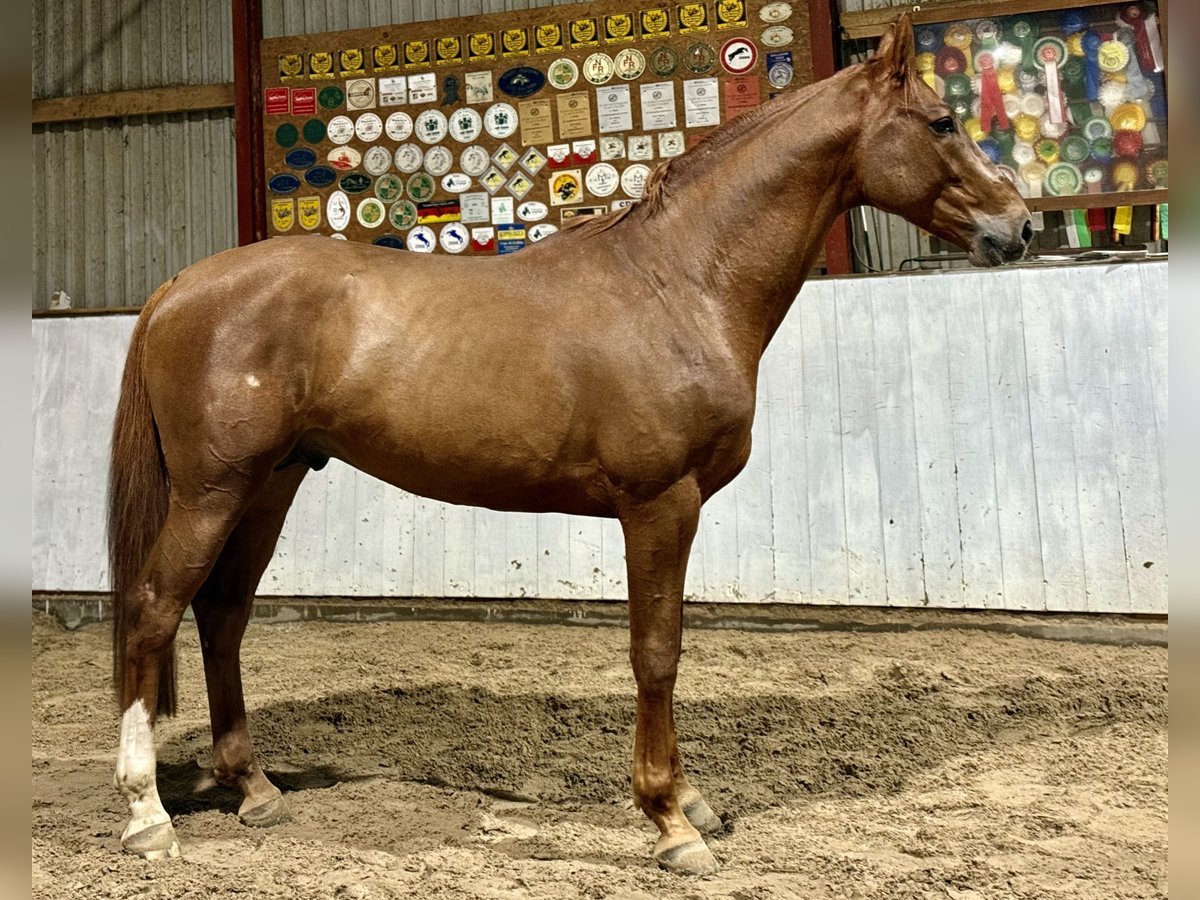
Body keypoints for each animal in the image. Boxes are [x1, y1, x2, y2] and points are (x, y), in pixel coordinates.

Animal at [110, 19, 1032, 883]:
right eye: (942, 121)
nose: (1018, 226)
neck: (679, 282)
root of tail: (178, 287)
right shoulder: (661, 503)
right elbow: (656, 653)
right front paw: (672, 822)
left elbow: (665, 649)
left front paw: (690, 798)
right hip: (213, 490)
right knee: (155, 608)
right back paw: (146, 815)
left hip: (269, 484)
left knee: (221, 613)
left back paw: (254, 788)